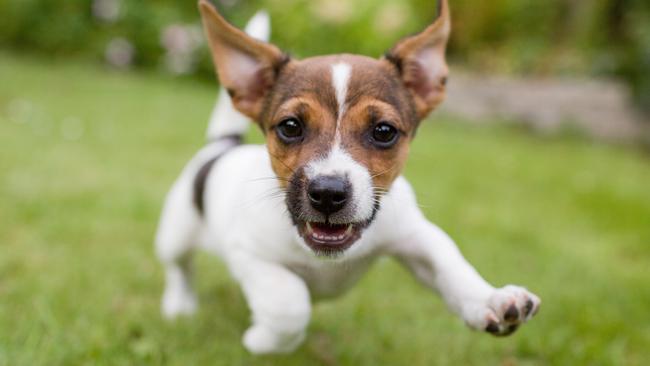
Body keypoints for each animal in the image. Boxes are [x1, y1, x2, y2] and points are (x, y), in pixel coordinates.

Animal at [157, 0, 540, 354]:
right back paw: (179, 305)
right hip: (175, 232)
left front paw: (490, 299)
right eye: (290, 126)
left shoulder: (416, 236)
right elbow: (289, 304)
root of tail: (223, 144)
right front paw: (262, 341)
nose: (327, 193)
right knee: (179, 268)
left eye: (384, 131)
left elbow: (451, 265)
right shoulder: (249, 253)